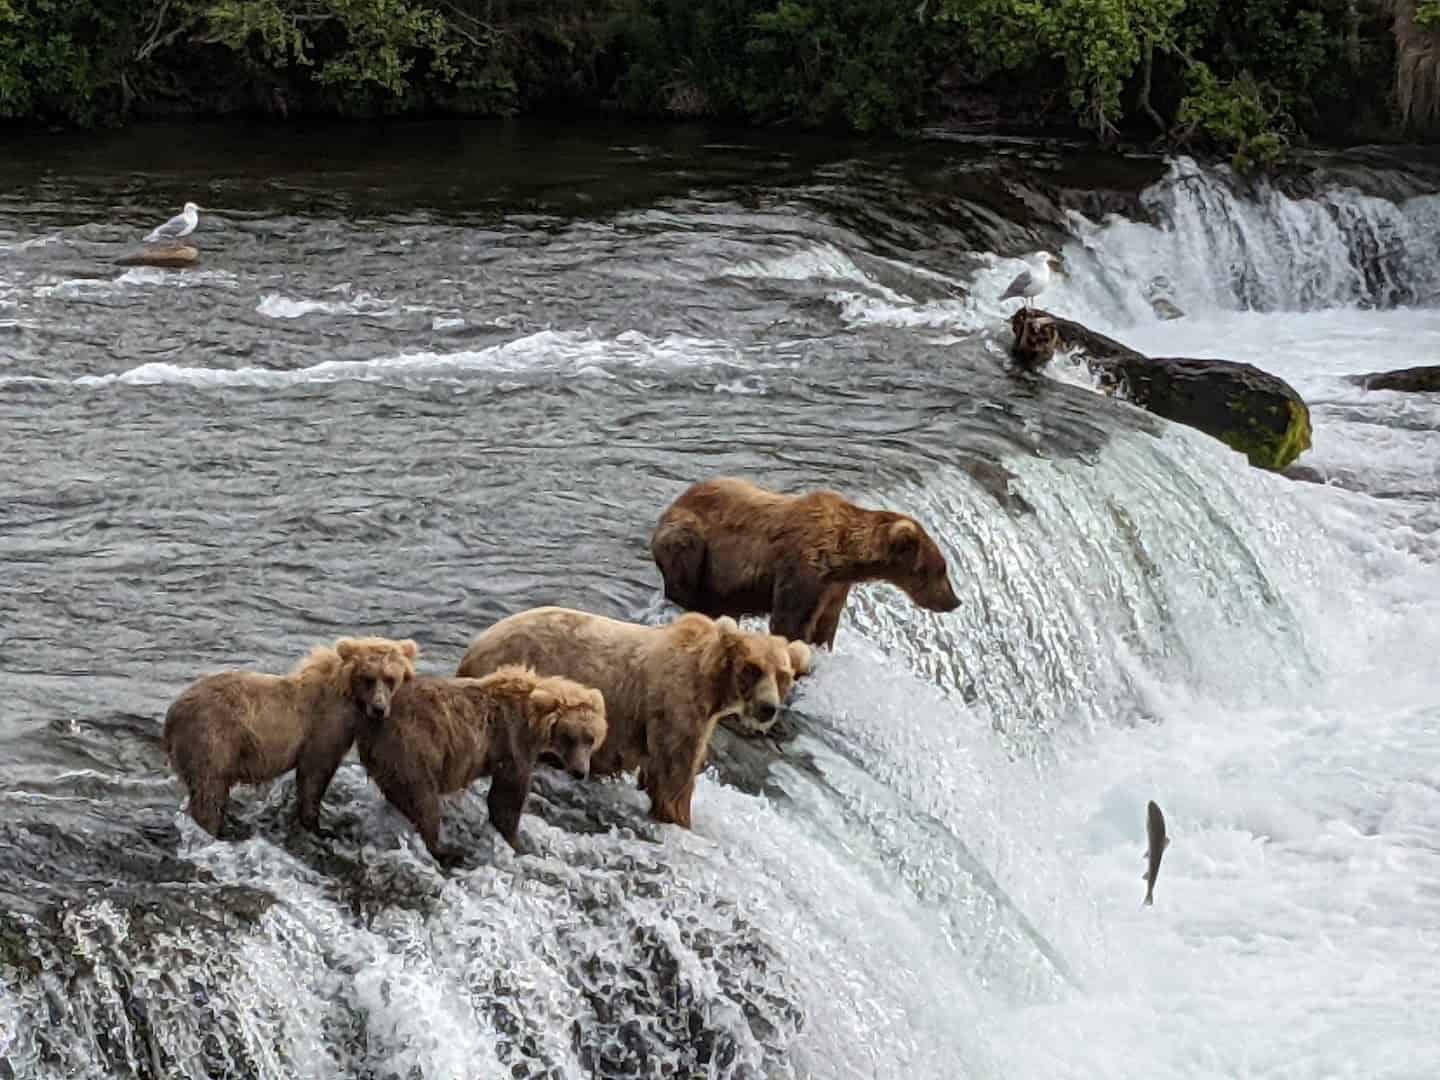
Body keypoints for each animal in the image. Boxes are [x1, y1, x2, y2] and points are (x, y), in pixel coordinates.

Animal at [163, 636, 419, 838]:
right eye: (368, 678)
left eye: (390, 678)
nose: (379, 708)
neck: (348, 696)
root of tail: (172, 713)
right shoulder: (322, 728)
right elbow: (314, 775)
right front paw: (319, 827)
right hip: (213, 737)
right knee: (209, 790)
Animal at [355, 666, 608, 867]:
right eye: (570, 737)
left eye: (590, 739)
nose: (580, 771)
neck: (535, 720)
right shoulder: (513, 742)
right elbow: (507, 797)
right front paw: (519, 843)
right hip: (413, 749)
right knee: (424, 802)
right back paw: (449, 851)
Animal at [455, 607, 811, 829]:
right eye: (752, 668)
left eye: (783, 674)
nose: (768, 708)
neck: (711, 687)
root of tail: (474, 645)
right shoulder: (676, 706)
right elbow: (675, 778)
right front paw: (678, 817)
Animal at [649, 476, 960, 648]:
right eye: (939, 569)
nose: (955, 601)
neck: (842, 558)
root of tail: (671, 505)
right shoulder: (802, 568)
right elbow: (789, 622)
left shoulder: (835, 589)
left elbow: (826, 624)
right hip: (692, 540)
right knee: (684, 575)